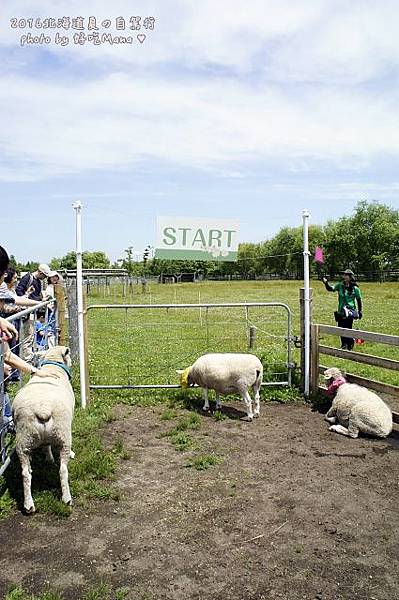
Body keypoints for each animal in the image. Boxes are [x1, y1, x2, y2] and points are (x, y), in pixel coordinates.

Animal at [12, 344, 75, 512]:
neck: (52, 367)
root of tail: (43, 409)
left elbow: (46, 445)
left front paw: (48, 458)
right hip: (63, 435)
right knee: (63, 470)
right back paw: (67, 498)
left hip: (24, 440)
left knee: (25, 474)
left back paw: (28, 504)